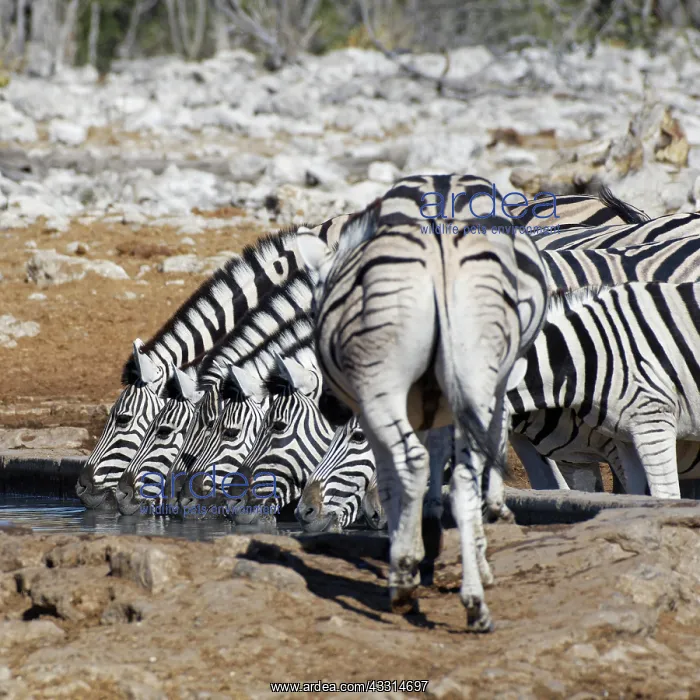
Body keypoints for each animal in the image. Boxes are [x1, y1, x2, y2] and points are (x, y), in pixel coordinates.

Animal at [298, 177, 550, 632]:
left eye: (311, 310)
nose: (329, 406)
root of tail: (440, 248)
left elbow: (392, 478)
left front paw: (410, 551)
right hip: (478, 370)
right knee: (467, 472)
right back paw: (475, 600)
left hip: (381, 385)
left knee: (411, 462)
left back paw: (403, 584)